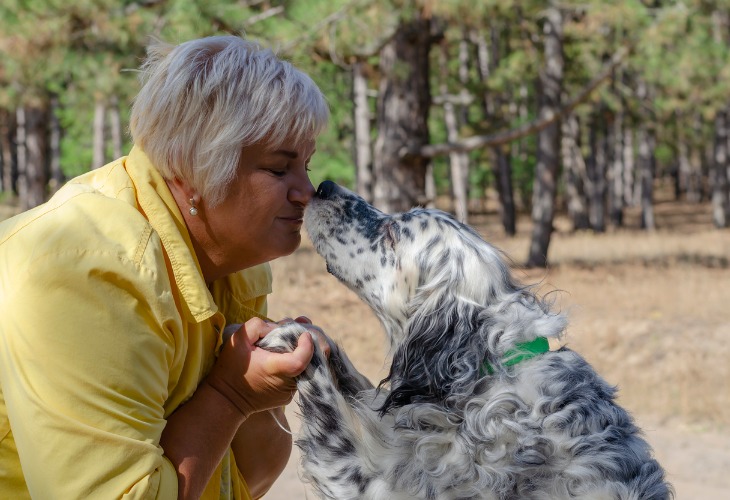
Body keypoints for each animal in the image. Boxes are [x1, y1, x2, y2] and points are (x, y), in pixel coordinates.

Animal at [258, 181, 672, 500]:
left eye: (393, 233)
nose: (324, 185)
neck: (485, 369)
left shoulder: (374, 482)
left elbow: (329, 407)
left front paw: (294, 338)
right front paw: (316, 336)